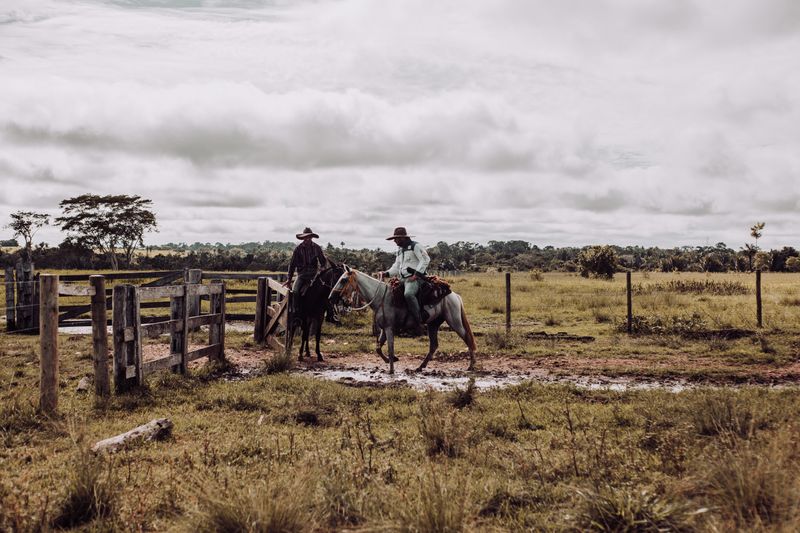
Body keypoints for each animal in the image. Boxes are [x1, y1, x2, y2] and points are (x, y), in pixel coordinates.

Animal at [330, 266, 478, 374]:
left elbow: (390, 348)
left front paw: (391, 370)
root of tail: (455, 296)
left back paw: (471, 365)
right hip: (433, 324)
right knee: (434, 345)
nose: (331, 298)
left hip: (454, 322)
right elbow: (378, 348)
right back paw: (420, 367)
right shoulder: (384, 329)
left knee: (467, 338)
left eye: (343, 280)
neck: (381, 298)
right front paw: (392, 360)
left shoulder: (389, 328)